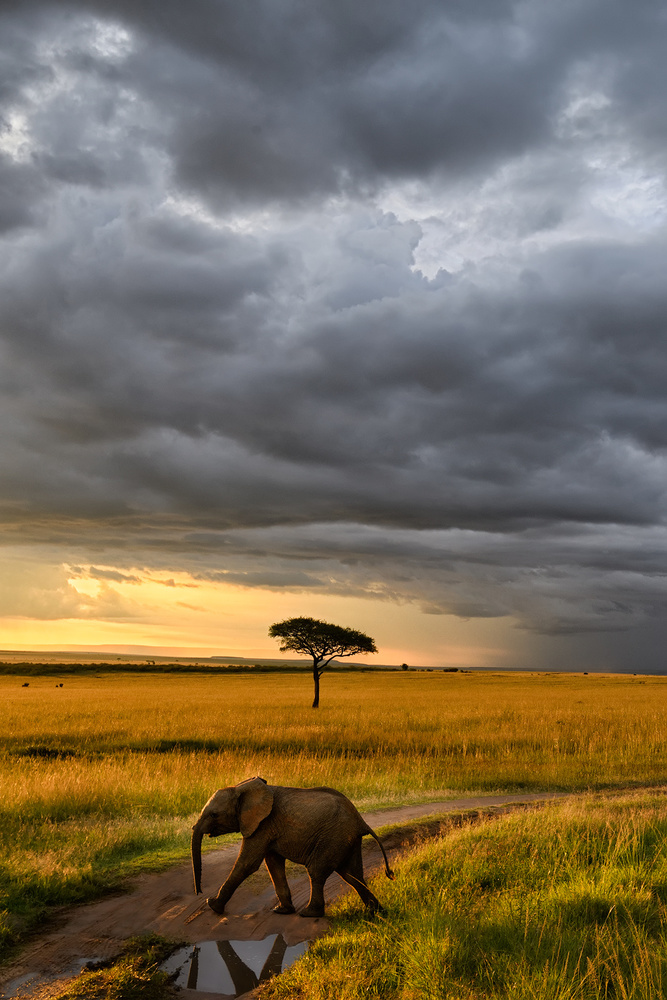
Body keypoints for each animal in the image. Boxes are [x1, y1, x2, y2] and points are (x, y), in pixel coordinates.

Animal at [190, 776, 394, 916]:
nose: (199, 892)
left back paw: (309, 914)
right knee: (352, 875)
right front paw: (282, 910)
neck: (242, 787)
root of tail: (361, 821)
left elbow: (247, 864)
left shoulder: (263, 824)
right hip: (347, 839)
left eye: (214, 815)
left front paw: (212, 905)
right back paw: (376, 912)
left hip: (333, 837)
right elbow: (273, 864)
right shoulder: (268, 828)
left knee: (318, 871)